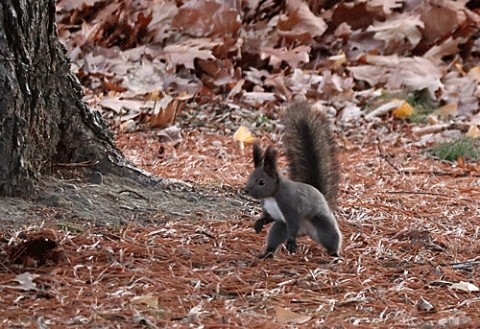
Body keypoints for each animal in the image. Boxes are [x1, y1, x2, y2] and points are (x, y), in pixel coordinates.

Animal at [244, 101, 342, 258]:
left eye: (261, 182)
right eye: (250, 176)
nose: (246, 190)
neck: (273, 195)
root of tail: (305, 232)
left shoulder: (290, 205)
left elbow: (293, 221)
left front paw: (291, 242)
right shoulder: (270, 210)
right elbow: (268, 217)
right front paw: (259, 223)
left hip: (322, 224)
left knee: (331, 238)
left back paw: (335, 255)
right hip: (280, 227)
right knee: (274, 238)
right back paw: (266, 253)